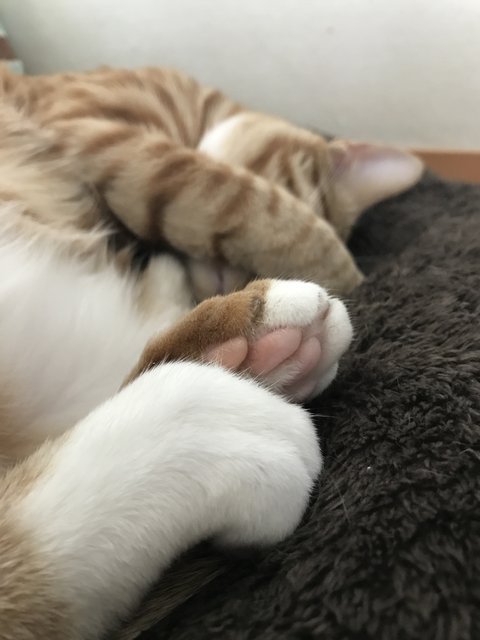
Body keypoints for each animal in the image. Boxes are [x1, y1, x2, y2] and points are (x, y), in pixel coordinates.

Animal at [0, 64, 422, 639]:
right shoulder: (94, 131)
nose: (236, 274)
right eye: (293, 192)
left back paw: (252, 353)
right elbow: (243, 201)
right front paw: (349, 274)